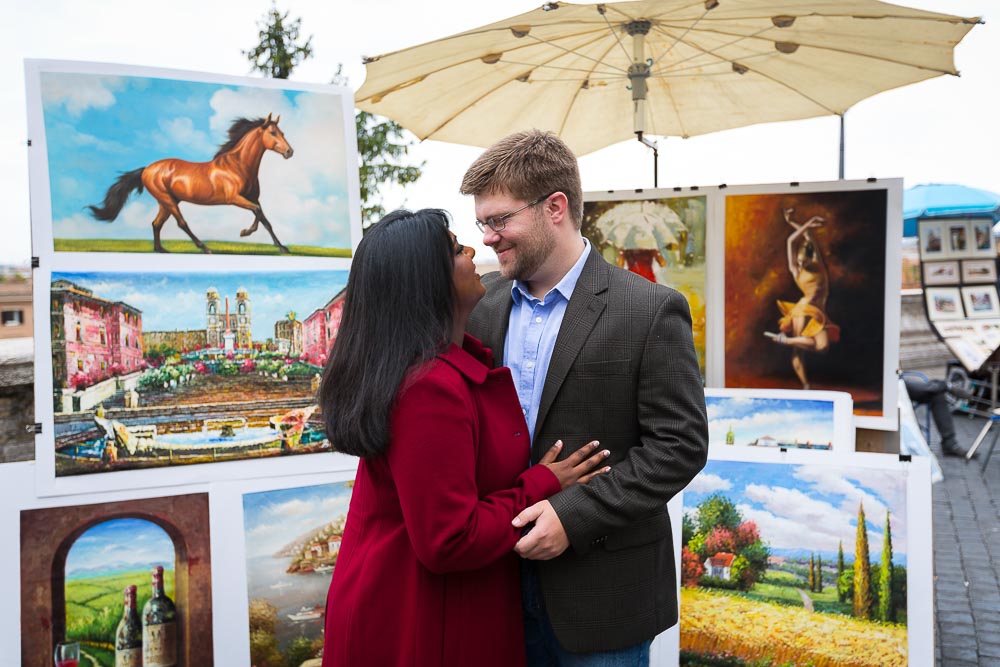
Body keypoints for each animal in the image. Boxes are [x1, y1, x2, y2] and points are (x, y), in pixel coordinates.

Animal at [87, 114, 292, 253]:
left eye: (282, 132)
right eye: (273, 133)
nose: (290, 152)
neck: (238, 166)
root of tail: (147, 169)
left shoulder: (253, 198)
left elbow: (264, 219)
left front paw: (282, 247)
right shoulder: (233, 198)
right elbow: (257, 213)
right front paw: (244, 233)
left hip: (166, 202)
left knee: (156, 223)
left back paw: (161, 250)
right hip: (168, 200)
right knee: (181, 223)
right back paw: (205, 248)